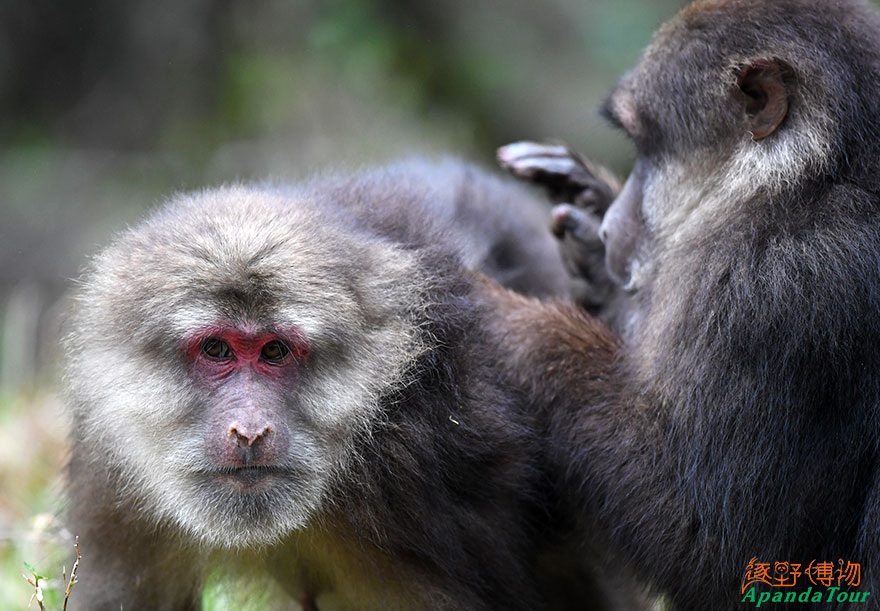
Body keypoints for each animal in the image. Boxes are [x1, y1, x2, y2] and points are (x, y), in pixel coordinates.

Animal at [492, 1, 880, 611]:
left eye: (647, 150)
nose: (613, 226)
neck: (806, 182)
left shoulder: (772, 288)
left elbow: (714, 549)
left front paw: (493, 314)